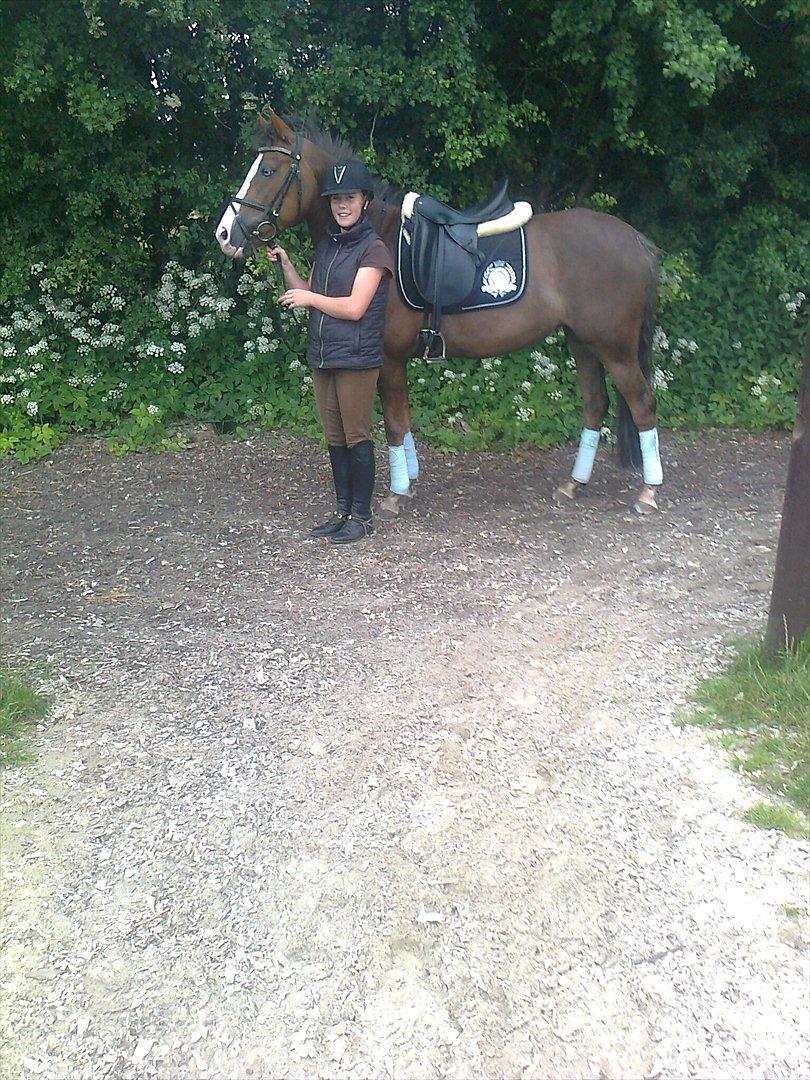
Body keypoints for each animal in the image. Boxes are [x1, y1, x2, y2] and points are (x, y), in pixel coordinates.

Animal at [215, 109, 663, 515]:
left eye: (268, 170)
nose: (224, 234)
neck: (376, 236)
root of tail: (635, 238)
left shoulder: (389, 360)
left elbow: (395, 424)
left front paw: (396, 494)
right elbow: (404, 421)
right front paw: (409, 480)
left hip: (614, 348)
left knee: (642, 403)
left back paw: (648, 493)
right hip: (583, 342)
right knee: (596, 404)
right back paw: (573, 485)